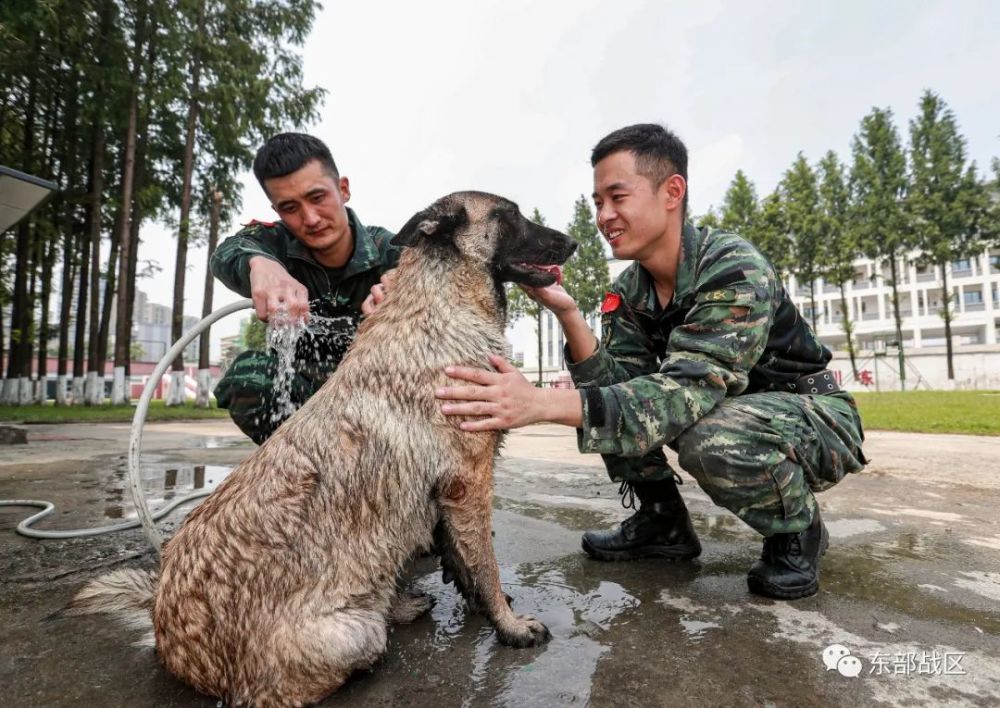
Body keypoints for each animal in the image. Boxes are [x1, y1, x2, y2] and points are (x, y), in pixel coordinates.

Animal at [70, 194, 580, 708]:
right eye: (509, 215)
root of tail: (165, 632)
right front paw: (510, 626)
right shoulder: (468, 483)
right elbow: (487, 567)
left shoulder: (450, 494)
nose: (575, 242)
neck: (440, 305)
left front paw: (484, 606)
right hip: (352, 635)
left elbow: (463, 560)